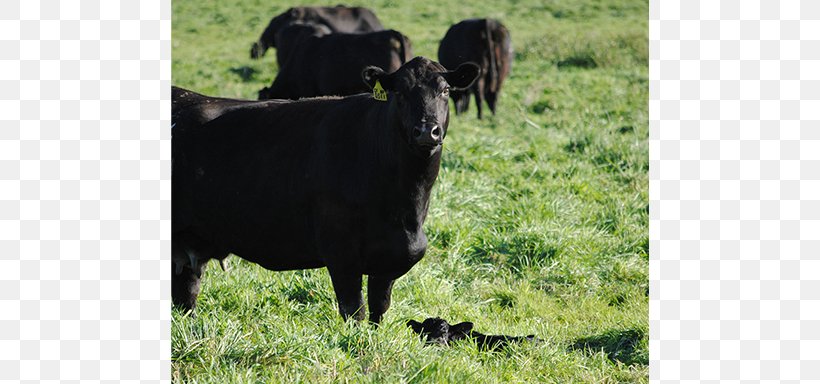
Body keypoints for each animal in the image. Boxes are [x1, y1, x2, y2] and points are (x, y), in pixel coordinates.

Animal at [173, 55, 480, 322]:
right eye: (400, 92)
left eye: (445, 91)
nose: (427, 131)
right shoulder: (341, 254)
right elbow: (354, 312)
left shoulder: (390, 260)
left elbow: (378, 310)